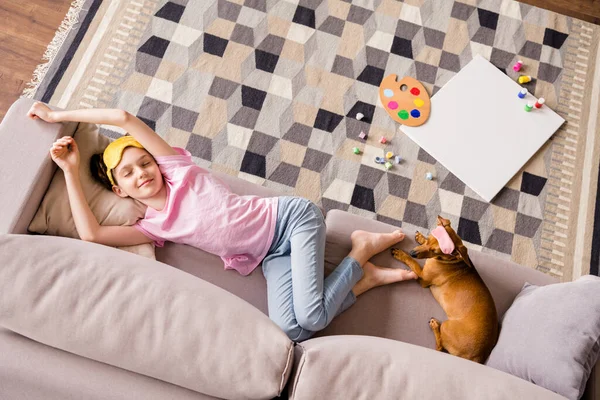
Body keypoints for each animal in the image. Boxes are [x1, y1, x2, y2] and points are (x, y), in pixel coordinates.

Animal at [392, 217, 500, 364]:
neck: (452, 260)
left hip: (447, 326)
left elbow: (412, 263)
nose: (412, 253)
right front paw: (420, 238)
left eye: (435, 251)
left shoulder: (422, 278)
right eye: (430, 238)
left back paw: (434, 326)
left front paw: (401, 254)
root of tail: (477, 358)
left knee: (439, 347)